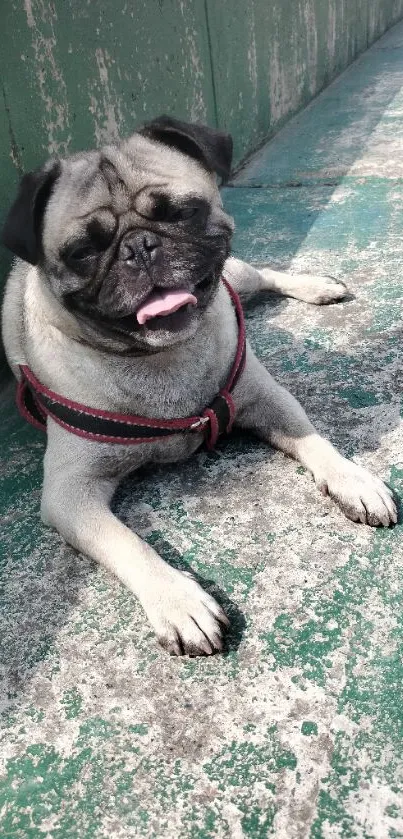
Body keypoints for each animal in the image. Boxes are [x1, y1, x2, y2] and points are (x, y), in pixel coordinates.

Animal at [0, 116, 398, 656]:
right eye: (83, 252)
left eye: (182, 213)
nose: (139, 247)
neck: (163, 360)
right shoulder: (70, 492)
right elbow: (129, 543)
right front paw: (178, 600)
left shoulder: (266, 399)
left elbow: (316, 440)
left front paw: (353, 479)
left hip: (239, 274)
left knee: (262, 275)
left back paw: (317, 286)